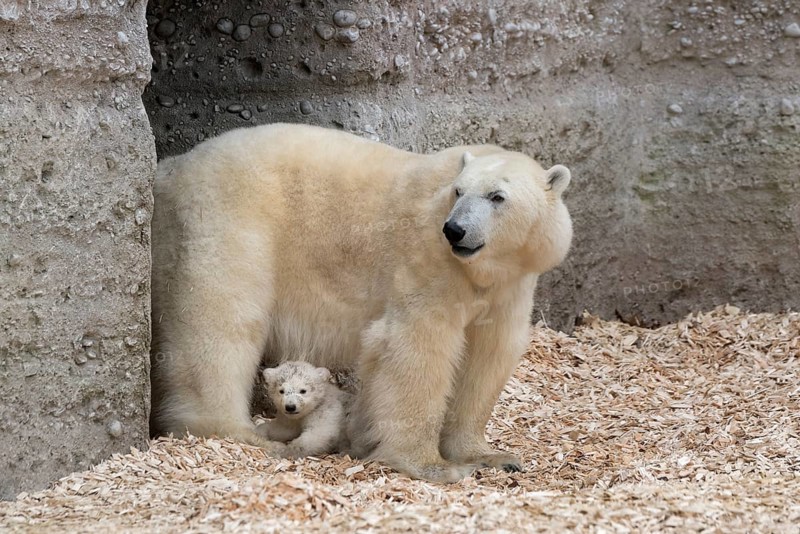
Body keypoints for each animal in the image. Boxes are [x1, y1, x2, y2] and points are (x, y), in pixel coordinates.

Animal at [150, 123, 573, 483]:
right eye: (458, 192)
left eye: (497, 196)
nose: (455, 230)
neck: (480, 270)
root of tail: (171, 169)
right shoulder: (426, 263)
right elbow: (416, 348)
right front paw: (433, 465)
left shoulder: (509, 286)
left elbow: (487, 355)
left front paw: (491, 456)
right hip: (226, 217)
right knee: (223, 320)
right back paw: (241, 430)